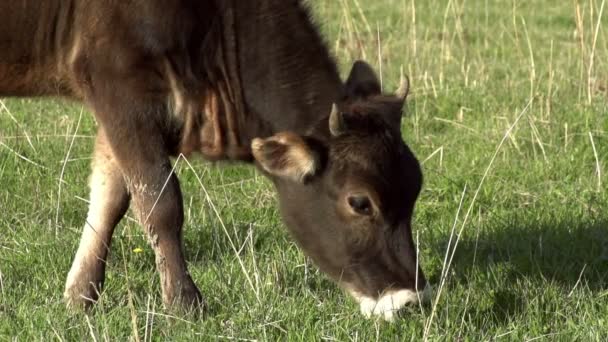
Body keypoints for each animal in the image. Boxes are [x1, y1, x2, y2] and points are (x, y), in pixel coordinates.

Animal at [0, 0, 430, 320]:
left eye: (415, 190)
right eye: (360, 202)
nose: (411, 300)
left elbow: (110, 196)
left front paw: (80, 295)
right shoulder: (118, 85)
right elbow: (160, 202)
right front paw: (184, 303)